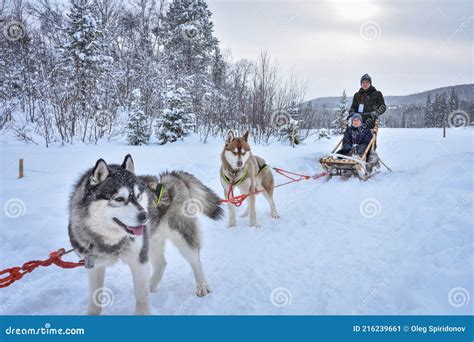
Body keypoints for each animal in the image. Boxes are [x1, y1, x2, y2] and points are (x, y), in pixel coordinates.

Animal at [68, 156, 222, 316]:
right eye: (118, 199)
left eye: (138, 196)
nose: (145, 216)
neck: (112, 241)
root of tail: (170, 176)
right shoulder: (95, 265)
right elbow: (95, 297)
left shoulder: (139, 261)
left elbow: (141, 298)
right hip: (151, 241)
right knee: (161, 263)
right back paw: (151, 286)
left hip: (181, 236)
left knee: (195, 261)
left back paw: (202, 286)